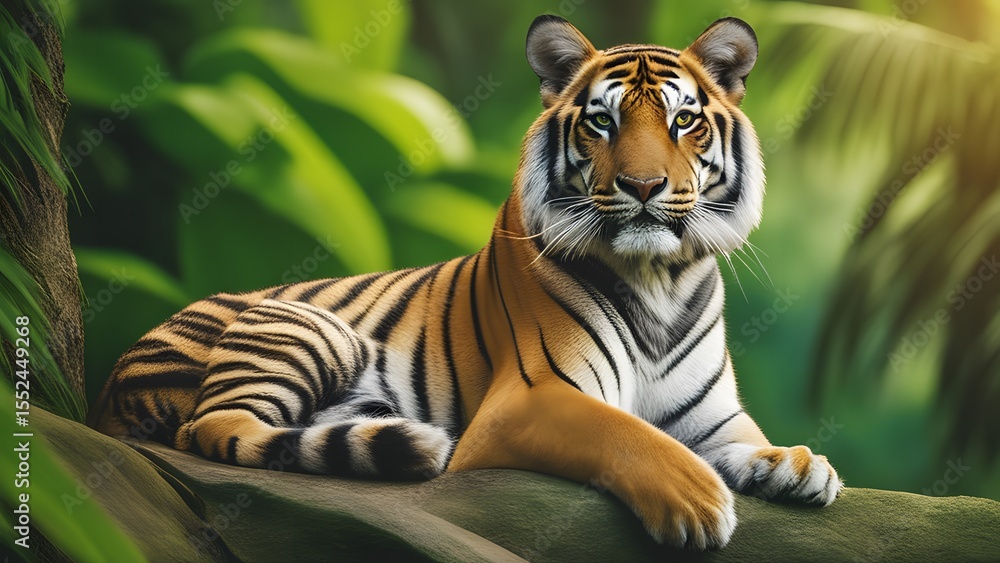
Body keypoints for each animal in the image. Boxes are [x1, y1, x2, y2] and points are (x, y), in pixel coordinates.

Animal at [89, 15, 842, 549]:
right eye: (603, 121)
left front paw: (801, 464)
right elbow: (625, 434)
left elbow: (750, 442)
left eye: (684, 120)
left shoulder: (714, 420)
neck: (661, 278)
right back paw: (413, 446)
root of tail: (112, 383)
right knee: (214, 424)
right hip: (306, 326)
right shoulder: (532, 399)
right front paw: (699, 502)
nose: (644, 185)